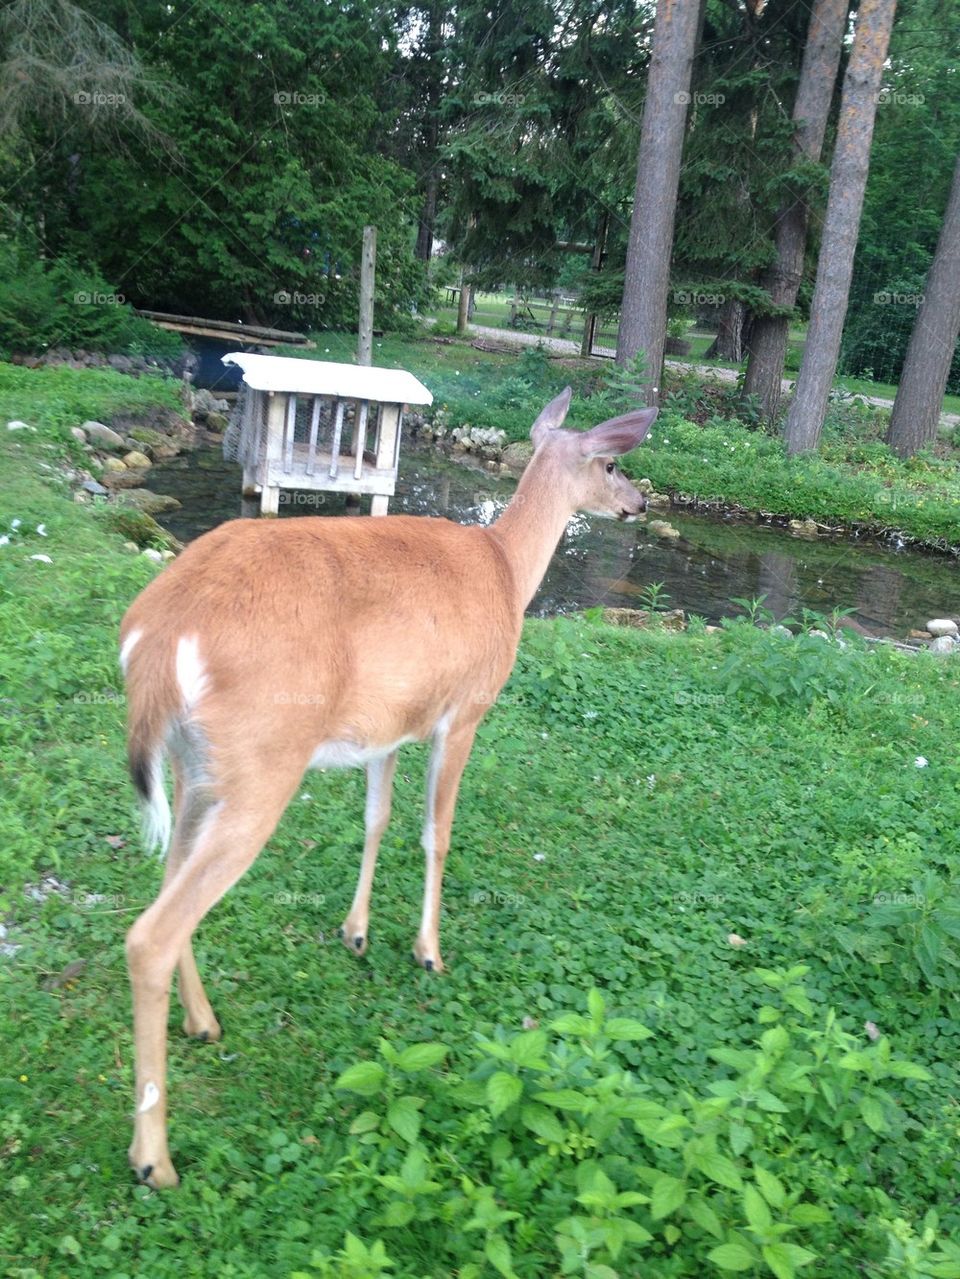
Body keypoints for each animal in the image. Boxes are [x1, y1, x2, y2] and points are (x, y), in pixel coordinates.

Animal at [119, 386, 656, 1187]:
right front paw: (428, 949)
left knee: (168, 886)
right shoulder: (463, 710)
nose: (639, 502)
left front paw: (357, 931)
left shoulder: (388, 728)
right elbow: (437, 830)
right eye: (613, 463)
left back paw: (204, 1022)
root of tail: (154, 638)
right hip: (261, 763)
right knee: (150, 933)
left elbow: (376, 818)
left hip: (196, 769)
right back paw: (155, 1157)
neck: (506, 570)